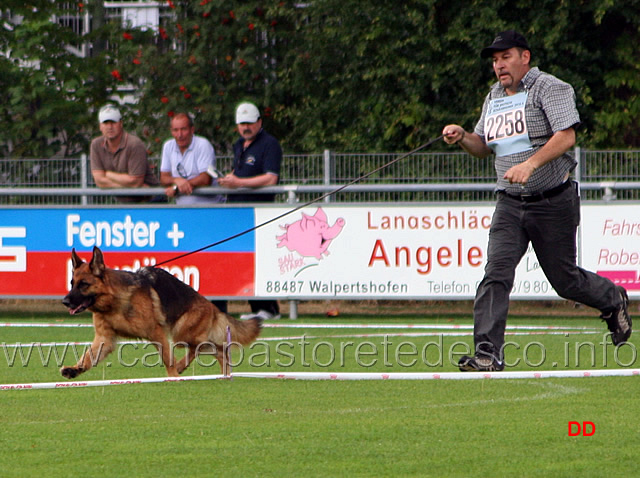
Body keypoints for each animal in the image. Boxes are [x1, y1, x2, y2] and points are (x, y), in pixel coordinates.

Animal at [60, 246, 260, 378]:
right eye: (72, 283)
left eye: (83, 285)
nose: (65, 302)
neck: (113, 301)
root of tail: (212, 306)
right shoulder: (104, 339)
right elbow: (89, 356)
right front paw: (74, 369)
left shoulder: (156, 332)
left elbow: (167, 358)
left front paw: (173, 377)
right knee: (214, 349)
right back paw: (223, 374)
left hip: (182, 333)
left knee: (207, 347)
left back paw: (186, 368)